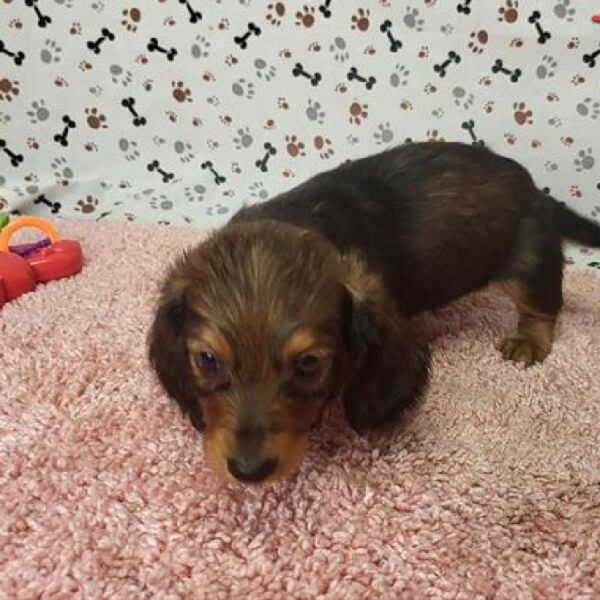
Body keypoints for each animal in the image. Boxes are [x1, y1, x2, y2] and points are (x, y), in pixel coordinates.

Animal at [149, 143, 600, 486]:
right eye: (208, 359)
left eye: (309, 363)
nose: (248, 471)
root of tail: (532, 185)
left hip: (527, 261)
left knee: (543, 304)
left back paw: (529, 340)